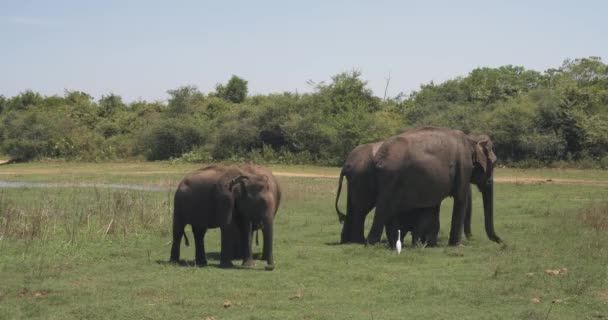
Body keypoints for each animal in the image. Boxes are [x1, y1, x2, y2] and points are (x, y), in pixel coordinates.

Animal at [368, 126, 502, 246]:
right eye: (494, 163)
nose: (501, 241)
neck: (471, 139)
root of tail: (380, 156)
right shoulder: (464, 166)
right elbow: (460, 198)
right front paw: (457, 245)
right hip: (392, 176)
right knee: (384, 206)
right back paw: (373, 243)